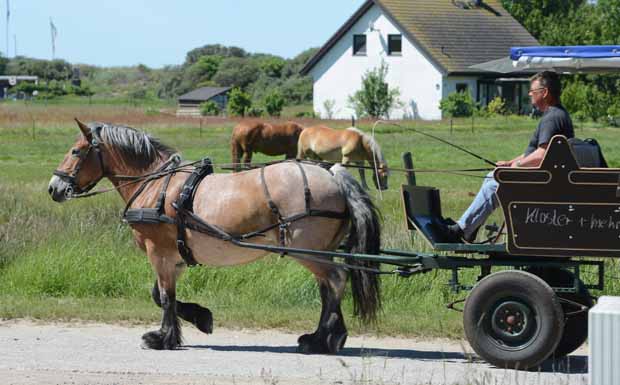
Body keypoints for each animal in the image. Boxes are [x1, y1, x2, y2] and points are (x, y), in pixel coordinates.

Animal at [49, 118, 382, 352]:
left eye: (75, 151)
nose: (54, 188)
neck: (156, 184)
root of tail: (333, 174)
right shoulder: (174, 256)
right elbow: (160, 295)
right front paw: (200, 318)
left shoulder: (159, 252)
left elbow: (165, 298)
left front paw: (162, 337)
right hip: (320, 251)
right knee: (328, 288)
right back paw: (325, 336)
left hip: (308, 251)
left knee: (336, 280)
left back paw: (324, 338)